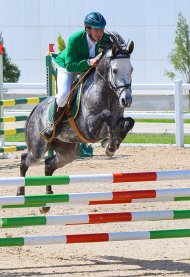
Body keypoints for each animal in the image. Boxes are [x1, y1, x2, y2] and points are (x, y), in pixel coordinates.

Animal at [17, 33, 134, 203]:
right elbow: (106, 115)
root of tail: (35, 110)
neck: (108, 94)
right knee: (25, 159)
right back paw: (20, 191)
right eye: (114, 70)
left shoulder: (118, 119)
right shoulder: (89, 129)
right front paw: (110, 145)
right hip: (38, 148)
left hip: (67, 152)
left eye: (131, 70)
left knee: (48, 164)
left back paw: (47, 197)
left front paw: (112, 143)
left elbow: (128, 122)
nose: (127, 100)